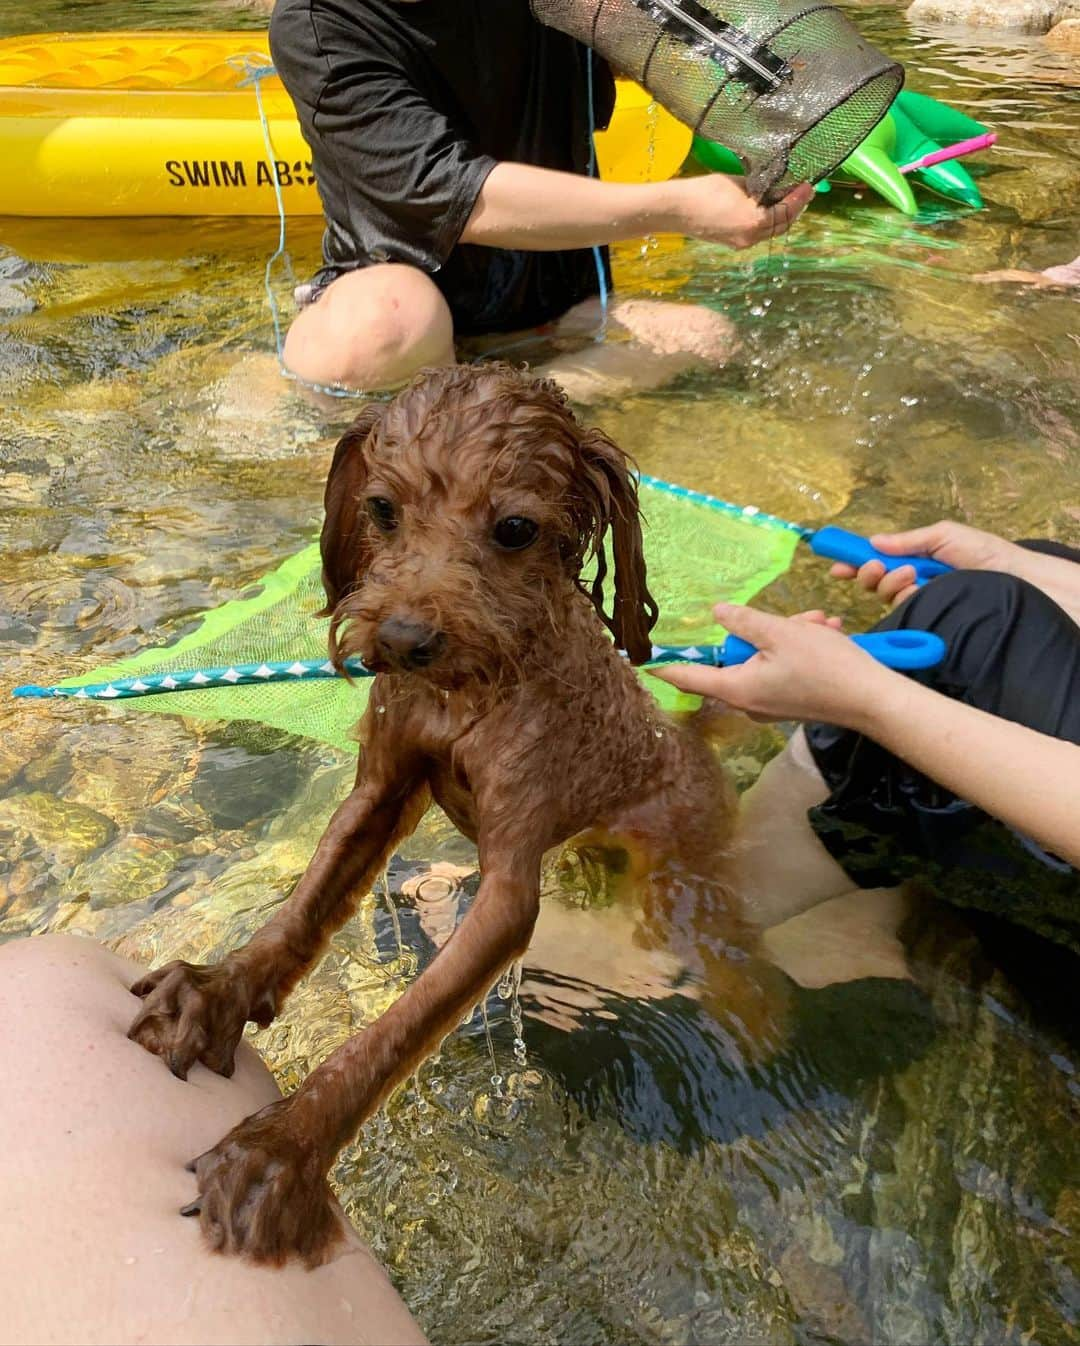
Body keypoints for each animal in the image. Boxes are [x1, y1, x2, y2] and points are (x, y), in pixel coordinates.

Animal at [128, 363, 759, 1265]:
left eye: (516, 528)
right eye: (383, 509)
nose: (399, 638)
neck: (465, 698)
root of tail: (688, 736)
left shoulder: (508, 894)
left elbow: (389, 1035)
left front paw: (282, 1150)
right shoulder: (382, 792)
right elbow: (301, 911)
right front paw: (216, 994)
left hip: (680, 873)